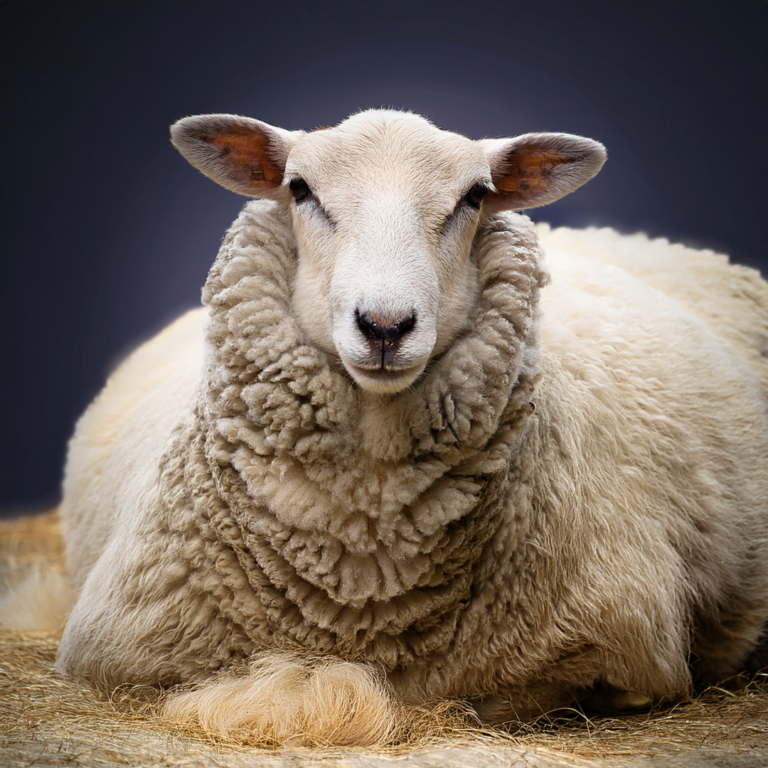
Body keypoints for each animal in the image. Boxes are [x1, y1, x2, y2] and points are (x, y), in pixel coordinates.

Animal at [53, 109, 768, 746]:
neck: (364, 552)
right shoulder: (122, 652)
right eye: (299, 188)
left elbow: (500, 699)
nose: (385, 325)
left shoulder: (613, 652)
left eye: (474, 196)